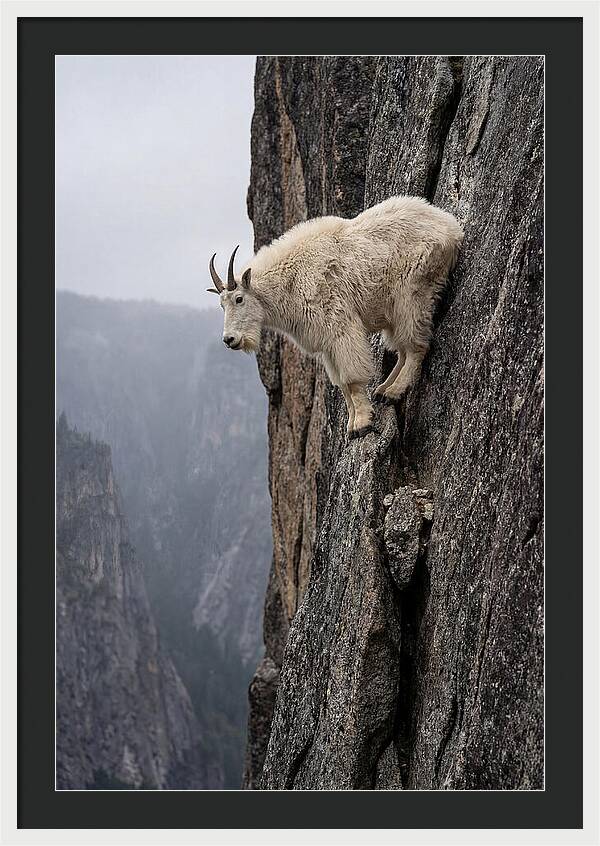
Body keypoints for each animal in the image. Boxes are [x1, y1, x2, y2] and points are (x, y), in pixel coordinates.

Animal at [208, 196, 463, 438]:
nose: (229, 339)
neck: (290, 280)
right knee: (401, 348)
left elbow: (351, 379)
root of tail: (451, 227)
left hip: (412, 293)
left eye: (239, 299)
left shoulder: (340, 327)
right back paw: (383, 389)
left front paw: (362, 424)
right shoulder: (326, 344)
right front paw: (351, 425)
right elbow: (341, 385)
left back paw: (393, 392)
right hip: (393, 310)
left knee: (416, 346)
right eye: (221, 305)